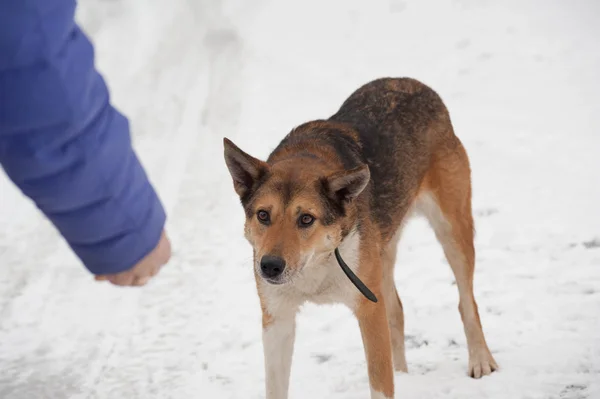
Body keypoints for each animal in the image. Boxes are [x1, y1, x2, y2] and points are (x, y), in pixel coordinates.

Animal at [223, 76, 500, 398]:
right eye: (263, 215)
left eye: (306, 219)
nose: (269, 266)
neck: (318, 262)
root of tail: (413, 83)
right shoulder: (277, 318)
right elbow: (275, 387)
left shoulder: (369, 310)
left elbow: (379, 384)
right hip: (385, 252)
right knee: (397, 310)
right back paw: (404, 375)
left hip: (452, 231)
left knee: (467, 302)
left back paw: (480, 360)